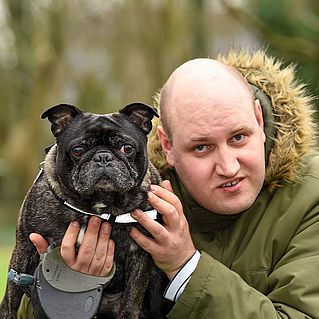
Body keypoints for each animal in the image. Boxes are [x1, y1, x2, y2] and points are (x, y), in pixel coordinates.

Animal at [0, 104, 172, 318]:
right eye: (78, 150)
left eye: (127, 148)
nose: (103, 156)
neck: (96, 207)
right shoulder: (25, 246)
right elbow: (12, 293)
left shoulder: (140, 253)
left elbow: (133, 295)